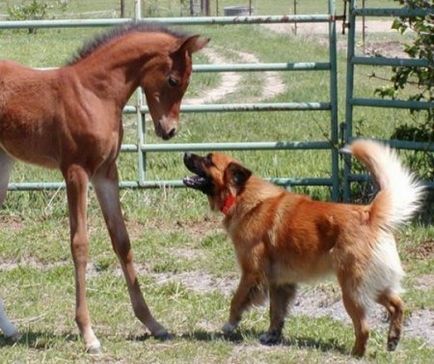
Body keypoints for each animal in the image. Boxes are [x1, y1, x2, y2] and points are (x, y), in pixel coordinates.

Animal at [0, 22, 209, 352]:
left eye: (188, 81)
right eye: (173, 79)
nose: (169, 131)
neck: (95, 94)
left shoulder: (106, 173)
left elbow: (122, 241)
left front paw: (153, 324)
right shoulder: (76, 172)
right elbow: (80, 244)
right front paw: (89, 334)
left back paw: (9, 329)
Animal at [183, 140, 424, 358]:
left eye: (208, 159)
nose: (185, 152)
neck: (243, 196)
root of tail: (369, 213)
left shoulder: (251, 273)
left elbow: (237, 300)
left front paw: (230, 325)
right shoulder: (279, 281)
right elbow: (276, 312)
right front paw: (272, 336)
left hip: (352, 290)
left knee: (364, 328)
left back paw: (355, 353)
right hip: (373, 284)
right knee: (398, 305)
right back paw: (393, 339)